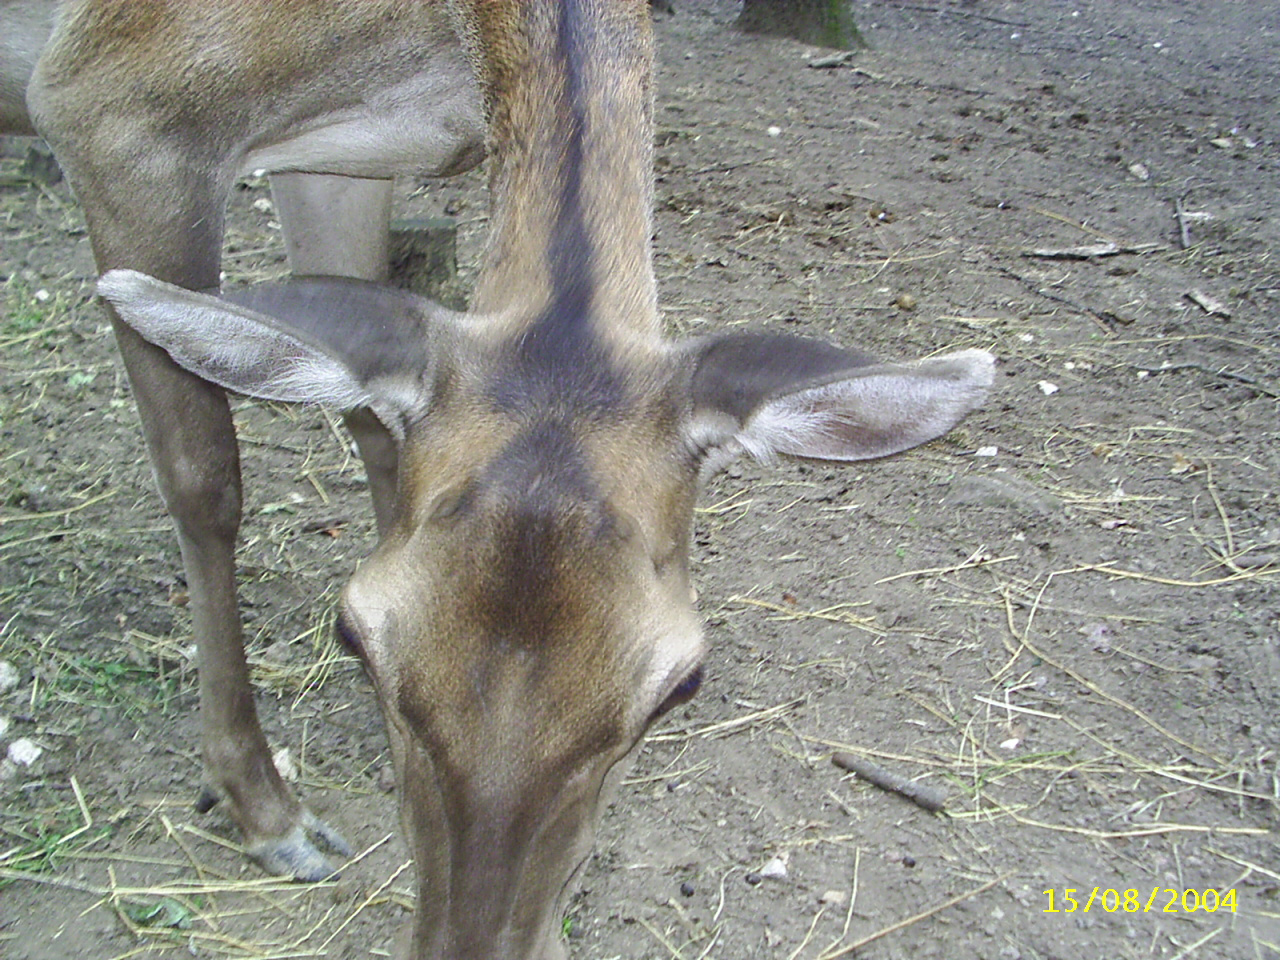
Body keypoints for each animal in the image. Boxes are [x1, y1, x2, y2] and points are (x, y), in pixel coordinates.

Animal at [0, 1, 988, 960]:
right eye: (354, 636)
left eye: (682, 685)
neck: (449, 43)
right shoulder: (106, 109)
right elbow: (204, 478)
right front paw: (266, 810)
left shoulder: (342, 163)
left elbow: (374, 429)